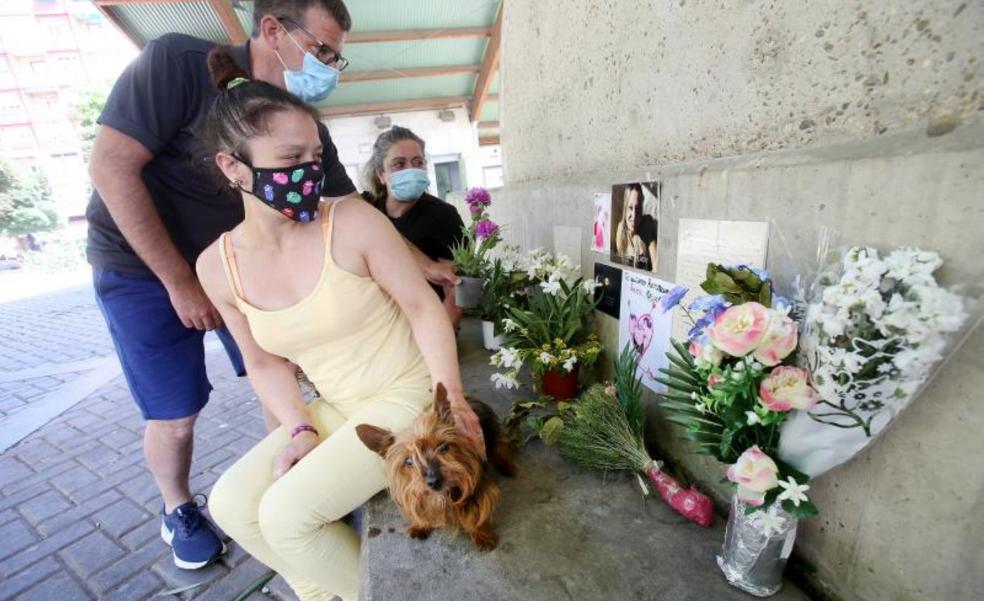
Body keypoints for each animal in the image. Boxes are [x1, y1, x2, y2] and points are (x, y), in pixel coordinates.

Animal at [358, 384, 520, 548]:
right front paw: (420, 525)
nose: (433, 481)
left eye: (443, 447)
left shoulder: (478, 487)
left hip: (489, 436)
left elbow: (477, 512)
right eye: (409, 461)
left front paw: (482, 534)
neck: (443, 494)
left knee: (500, 445)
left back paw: (507, 466)